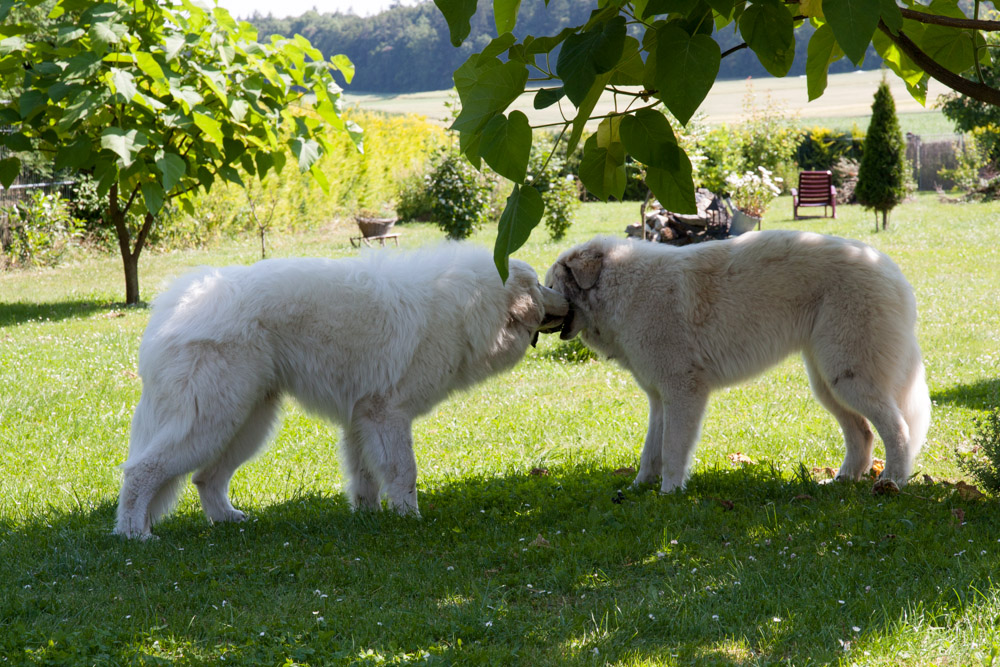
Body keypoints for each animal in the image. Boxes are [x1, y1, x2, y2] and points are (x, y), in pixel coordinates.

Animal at [115, 243, 572, 540]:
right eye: (539, 286)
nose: (566, 296)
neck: (469, 304)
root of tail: (176, 303)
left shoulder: (362, 418)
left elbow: (365, 474)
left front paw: (369, 517)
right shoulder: (387, 414)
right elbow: (404, 471)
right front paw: (410, 519)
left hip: (246, 422)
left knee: (205, 477)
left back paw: (228, 520)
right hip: (213, 418)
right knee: (141, 472)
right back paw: (134, 534)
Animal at [548, 232, 928, 494]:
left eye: (551, 285)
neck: (620, 288)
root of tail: (891, 270)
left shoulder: (683, 391)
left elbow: (672, 447)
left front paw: (669, 492)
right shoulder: (659, 398)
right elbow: (650, 449)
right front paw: (639, 488)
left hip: (850, 377)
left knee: (898, 429)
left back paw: (892, 482)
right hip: (828, 382)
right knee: (862, 433)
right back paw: (842, 480)